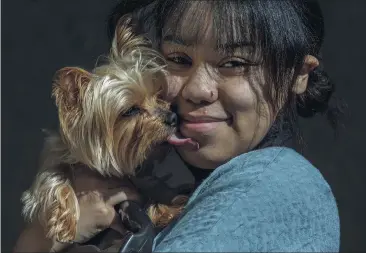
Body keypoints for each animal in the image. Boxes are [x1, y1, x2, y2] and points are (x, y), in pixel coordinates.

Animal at [21, 17, 196, 243]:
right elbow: (54, 178)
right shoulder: (52, 159)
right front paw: (64, 223)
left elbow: (152, 192)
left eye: (158, 94)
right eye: (130, 110)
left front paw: (167, 209)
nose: (173, 118)